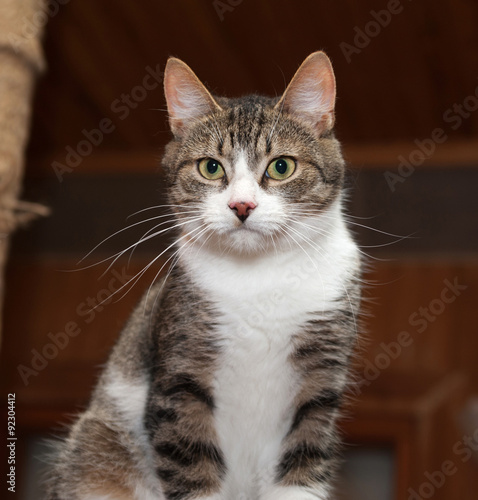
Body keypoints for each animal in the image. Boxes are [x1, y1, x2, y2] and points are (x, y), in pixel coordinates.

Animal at [45, 51, 362, 500]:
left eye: (282, 166)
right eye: (211, 168)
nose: (242, 205)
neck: (259, 276)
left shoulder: (320, 383)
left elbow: (303, 459)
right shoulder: (180, 376)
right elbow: (190, 459)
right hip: (95, 451)